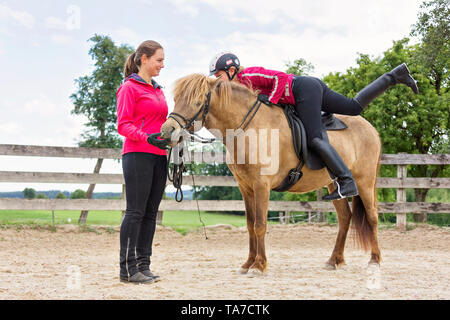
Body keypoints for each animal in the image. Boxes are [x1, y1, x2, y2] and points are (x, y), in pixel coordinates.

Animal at [160, 73, 382, 276]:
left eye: (197, 102)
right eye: (176, 99)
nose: (167, 131)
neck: (249, 128)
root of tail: (372, 129)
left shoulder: (261, 186)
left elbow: (260, 225)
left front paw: (259, 265)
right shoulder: (246, 188)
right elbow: (250, 225)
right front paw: (248, 263)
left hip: (365, 182)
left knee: (372, 217)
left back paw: (375, 259)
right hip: (332, 184)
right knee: (345, 217)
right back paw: (334, 260)